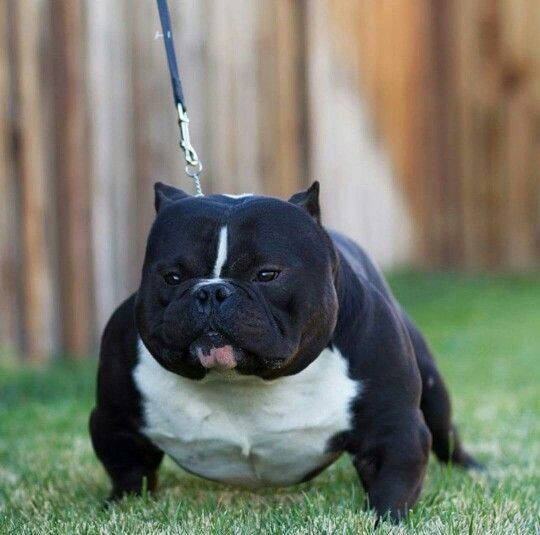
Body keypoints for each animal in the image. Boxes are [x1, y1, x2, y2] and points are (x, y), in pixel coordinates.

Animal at [89, 182, 476, 520]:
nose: (211, 291)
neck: (244, 381)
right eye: (172, 277)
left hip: (433, 391)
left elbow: (392, 482)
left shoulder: (393, 426)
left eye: (267, 274)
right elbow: (128, 471)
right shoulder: (113, 420)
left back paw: (474, 470)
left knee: (447, 435)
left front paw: (386, 520)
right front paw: (118, 507)